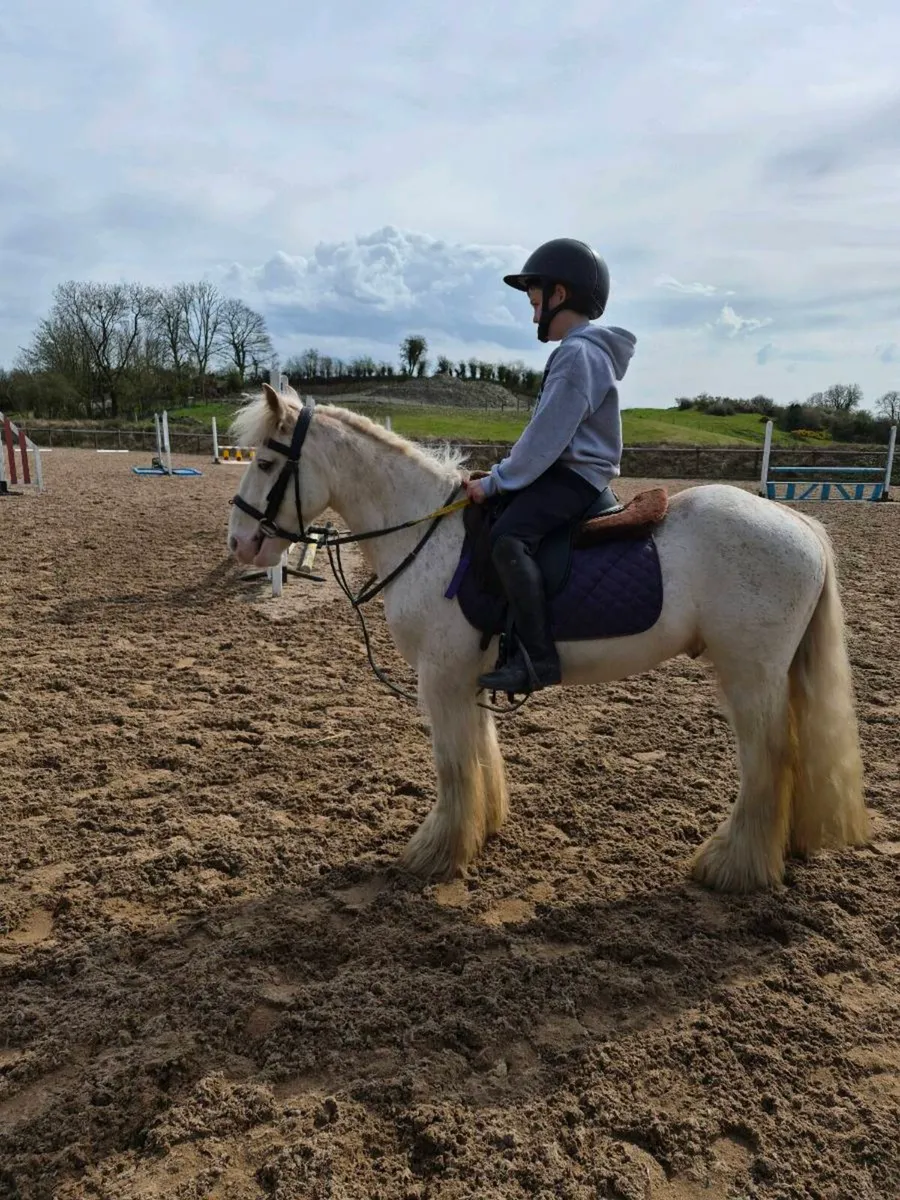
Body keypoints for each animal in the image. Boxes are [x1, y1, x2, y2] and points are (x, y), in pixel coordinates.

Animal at [226, 383, 869, 893]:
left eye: (266, 463)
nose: (239, 543)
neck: (425, 533)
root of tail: (799, 524)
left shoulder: (439, 677)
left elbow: (453, 764)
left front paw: (436, 853)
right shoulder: (467, 676)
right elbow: (480, 751)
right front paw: (481, 829)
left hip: (749, 671)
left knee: (769, 758)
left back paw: (733, 865)